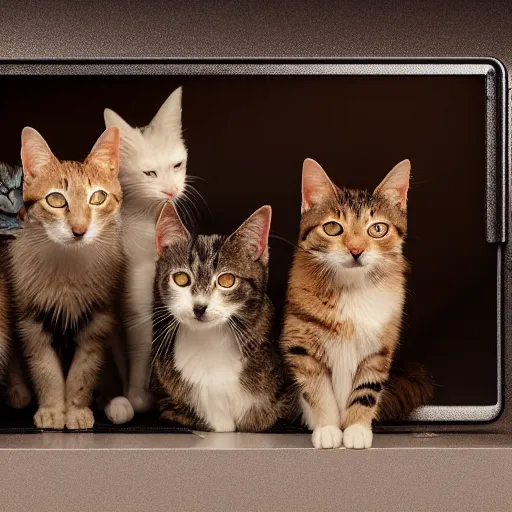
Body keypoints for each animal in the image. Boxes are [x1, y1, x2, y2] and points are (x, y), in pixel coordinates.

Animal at [10, 126, 124, 430]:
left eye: (97, 197)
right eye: (56, 200)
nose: (79, 230)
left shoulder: (98, 321)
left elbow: (84, 371)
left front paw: (76, 409)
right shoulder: (31, 321)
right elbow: (45, 369)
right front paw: (51, 409)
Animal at [103, 88, 187, 424]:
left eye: (177, 165)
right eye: (149, 173)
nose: (171, 191)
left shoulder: (149, 269)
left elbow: (142, 334)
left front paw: (138, 395)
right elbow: (131, 330)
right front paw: (129, 397)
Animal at [282, 159, 430, 448]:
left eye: (378, 228)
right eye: (332, 228)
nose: (356, 250)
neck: (351, 287)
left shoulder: (379, 348)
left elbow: (366, 389)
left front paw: (356, 429)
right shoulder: (301, 344)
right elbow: (318, 390)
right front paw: (327, 428)